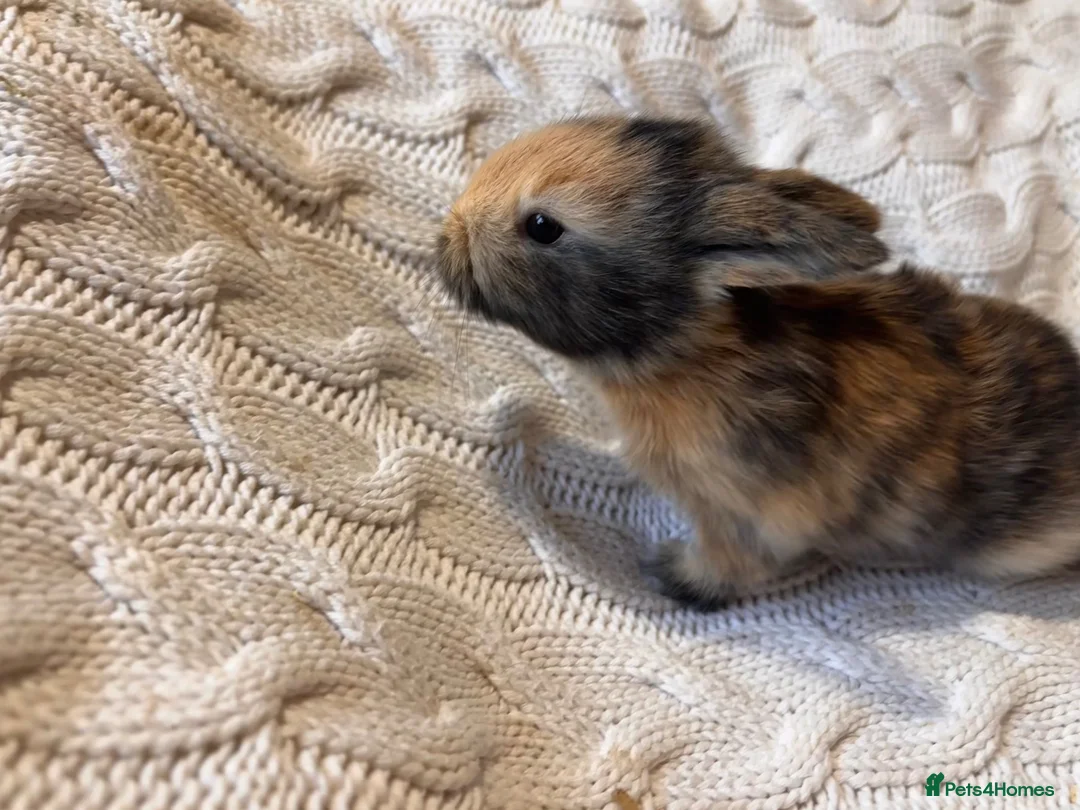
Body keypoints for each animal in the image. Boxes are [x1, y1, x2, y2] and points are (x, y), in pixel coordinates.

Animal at [433, 114, 1080, 609]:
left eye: (543, 226)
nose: (448, 232)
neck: (691, 354)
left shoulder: (747, 512)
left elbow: (734, 563)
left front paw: (673, 574)